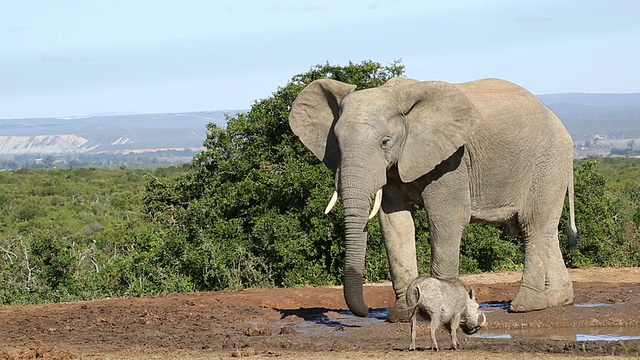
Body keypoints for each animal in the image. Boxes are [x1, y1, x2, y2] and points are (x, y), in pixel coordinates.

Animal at [288, 76, 576, 320]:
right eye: (336, 143)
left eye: (385, 142)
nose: (367, 311)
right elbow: (395, 223)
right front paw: (401, 316)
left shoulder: (452, 160)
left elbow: (446, 218)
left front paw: (437, 313)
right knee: (544, 231)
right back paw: (557, 300)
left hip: (549, 161)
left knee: (534, 224)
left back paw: (524, 307)